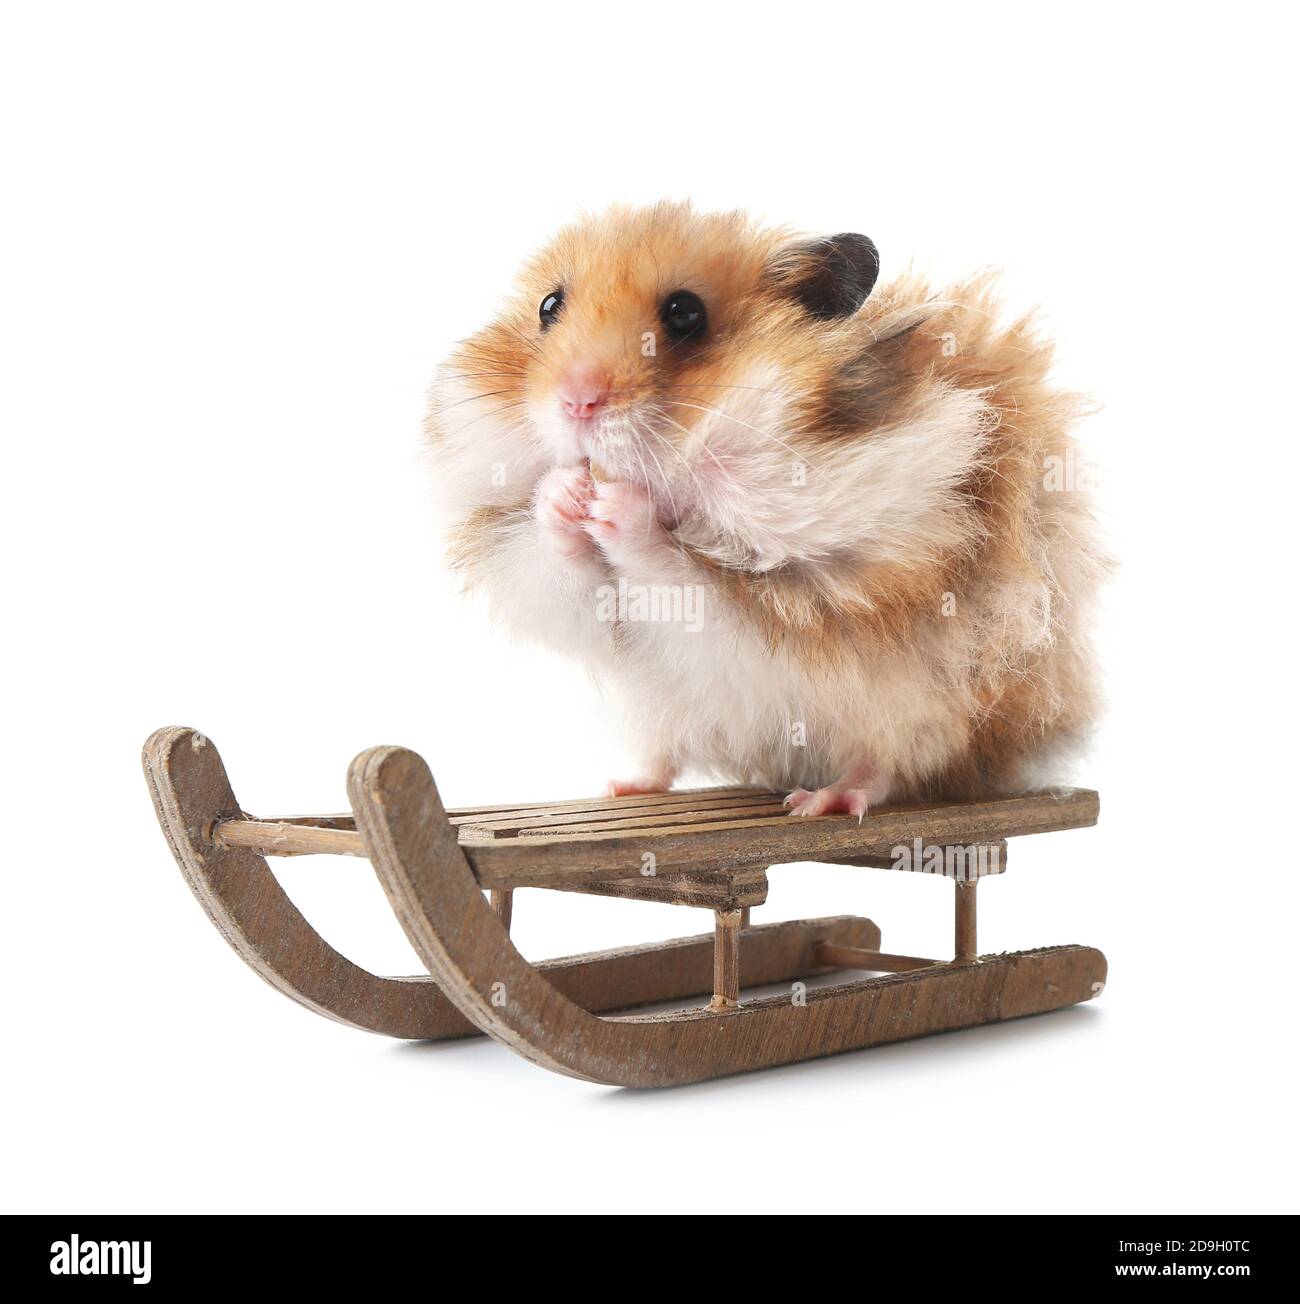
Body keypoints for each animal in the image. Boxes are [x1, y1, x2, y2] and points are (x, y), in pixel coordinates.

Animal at [424, 201, 1107, 817]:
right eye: (548, 307)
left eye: (685, 313)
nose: (577, 402)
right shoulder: (560, 593)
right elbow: (562, 567)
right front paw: (565, 494)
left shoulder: (831, 582)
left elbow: (683, 573)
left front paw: (622, 504)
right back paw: (622, 787)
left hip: (930, 713)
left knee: (890, 766)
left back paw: (823, 802)